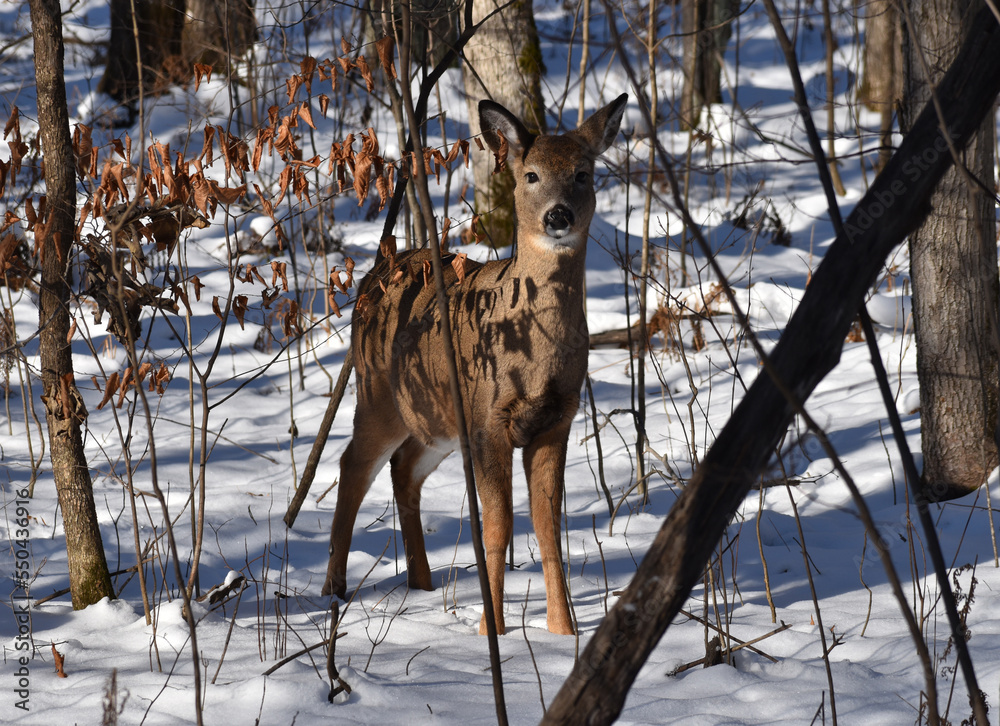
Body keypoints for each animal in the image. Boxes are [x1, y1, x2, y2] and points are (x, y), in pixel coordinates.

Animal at [322, 93, 628, 635]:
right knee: (353, 465)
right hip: (378, 393)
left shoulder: (557, 420)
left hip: (438, 418)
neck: (535, 360)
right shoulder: (490, 419)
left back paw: (421, 583)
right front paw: (493, 630)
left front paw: (563, 631)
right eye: (531, 174)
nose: (558, 216)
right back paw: (334, 587)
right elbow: (499, 526)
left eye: (583, 173)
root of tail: (373, 274)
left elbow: (548, 527)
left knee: (404, 468)